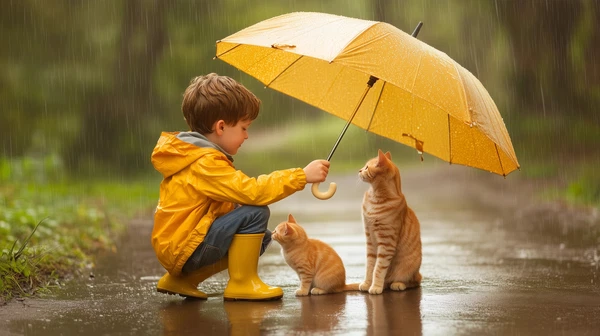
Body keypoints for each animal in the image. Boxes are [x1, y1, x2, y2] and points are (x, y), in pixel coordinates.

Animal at [356, 150, 422, 294]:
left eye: (367, 167)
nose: (359, 170)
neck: (375, 197)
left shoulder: (386, 243)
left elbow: (378, 268)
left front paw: (375, 286)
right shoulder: (370, 239)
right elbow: (370, 266)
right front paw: (367, 283)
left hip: (410, 268)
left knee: (414, 281)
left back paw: (397, 284)